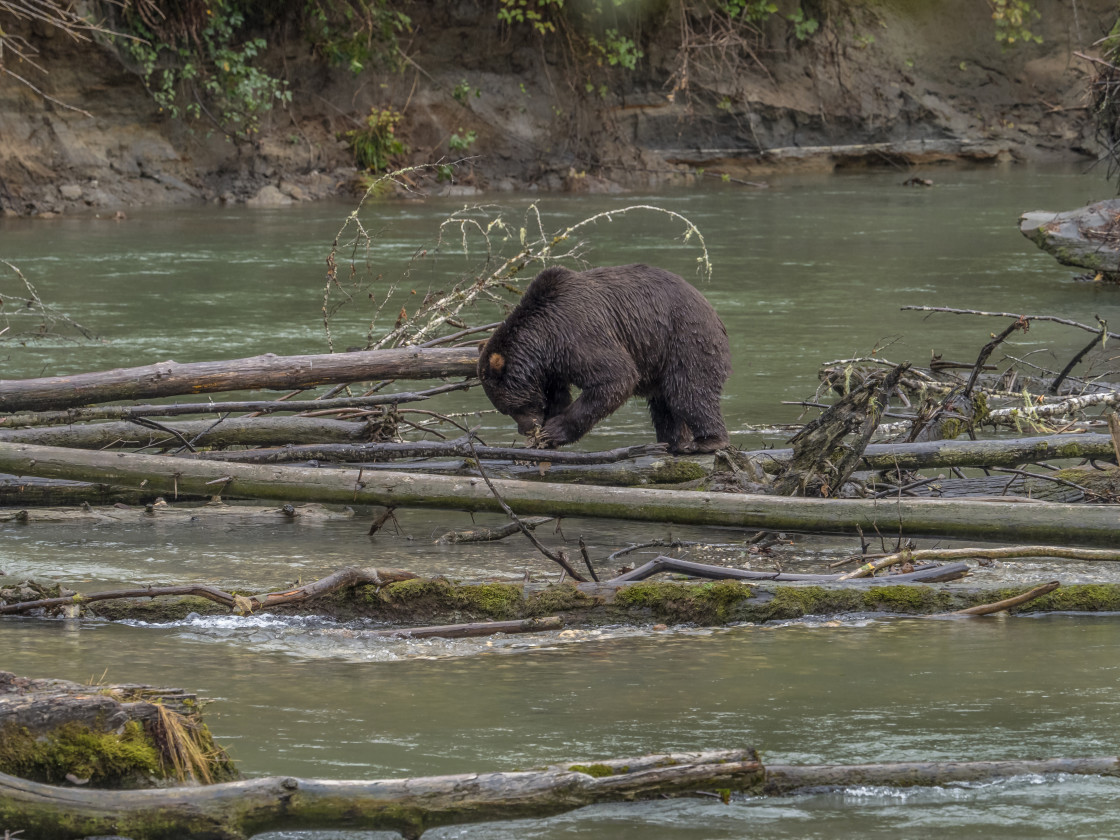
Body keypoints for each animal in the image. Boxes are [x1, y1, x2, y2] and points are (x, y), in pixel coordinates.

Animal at [477, 266, 730, 456]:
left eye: (510, 408)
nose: (525, 429)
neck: (543, 340)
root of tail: (711, 309)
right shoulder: (552, 368)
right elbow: (558, 397)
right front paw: (545, 437)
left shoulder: (576, 336)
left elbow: (616, 376)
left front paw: (552, 431)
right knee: (663, 405)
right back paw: (672, 442)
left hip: (684, 340)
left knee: (689, 391)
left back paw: (706, 441)